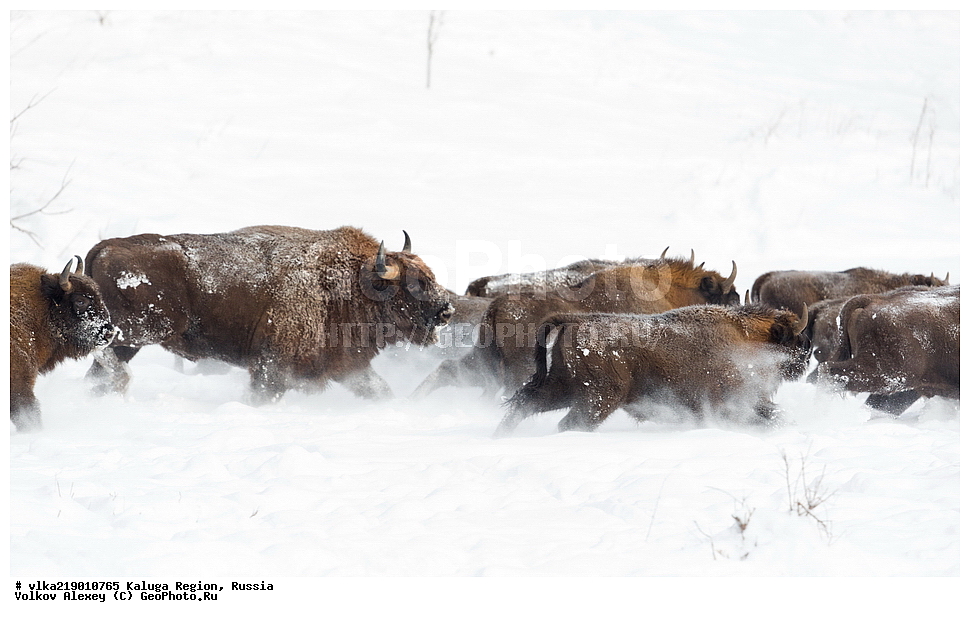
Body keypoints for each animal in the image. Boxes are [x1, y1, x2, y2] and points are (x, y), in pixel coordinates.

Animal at [85, 226, 453, 403]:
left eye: (430, 277)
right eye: (413, 284)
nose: (446, 310)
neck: (349, 281)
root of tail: (105, 247)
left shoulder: (348, 367)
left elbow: (379, 390)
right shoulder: (272, 367)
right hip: (139, 331)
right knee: (105, 357)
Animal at [494, 303, 810, 435]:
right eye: (793, 339)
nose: (807, 360)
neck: (745, 337)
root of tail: (575, 320)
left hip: (561, 388)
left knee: (523, 405)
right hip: (599, 398)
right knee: (569, 422)